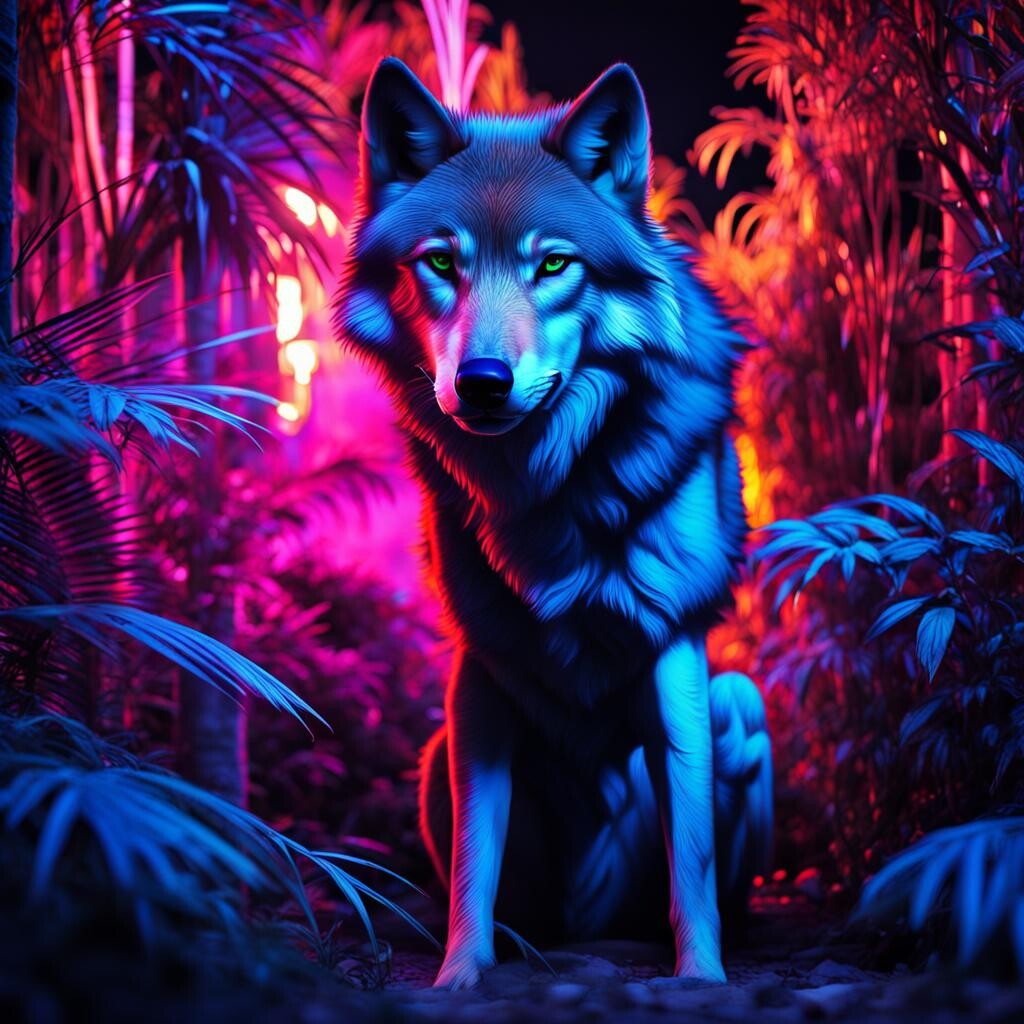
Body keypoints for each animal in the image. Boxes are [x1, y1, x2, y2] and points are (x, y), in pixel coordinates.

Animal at [335, 58, 773, 990]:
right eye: (441, 262)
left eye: (555, 265)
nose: (483, 381)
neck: (547, 489)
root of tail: (588, 925)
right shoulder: (479, 674)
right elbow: (477, 855)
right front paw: (460, 977)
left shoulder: (675, 653)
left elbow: (691, 855)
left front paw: (700, 979)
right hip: (435, 753)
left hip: (740, 701)